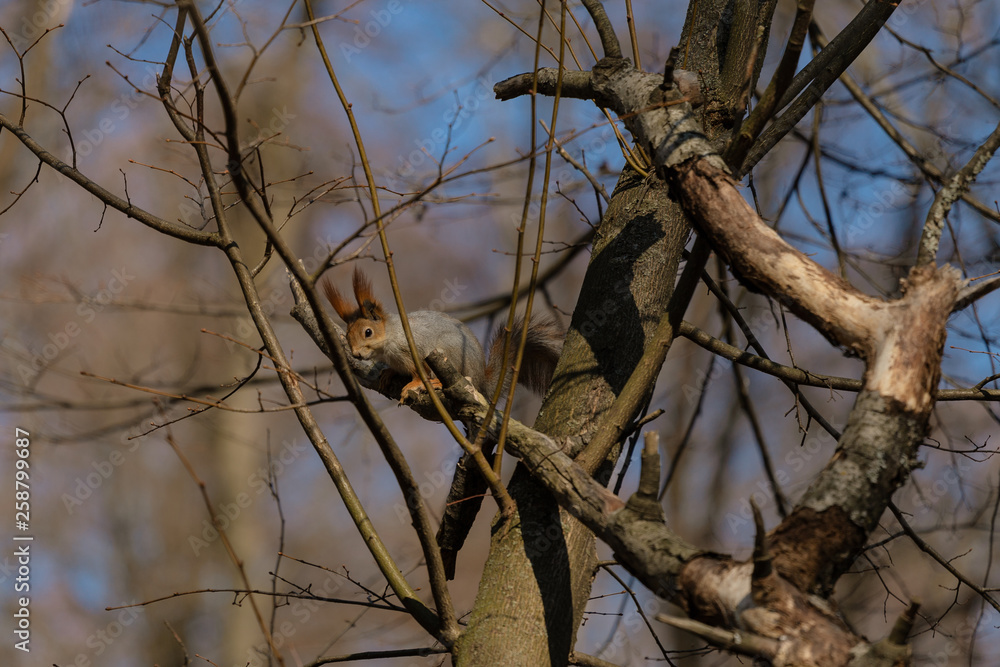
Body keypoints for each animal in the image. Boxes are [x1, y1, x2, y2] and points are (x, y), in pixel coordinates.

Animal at [323, 267, 564, 401]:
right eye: (347, 335)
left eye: (368, 332)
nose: (356, 354)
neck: (391, 337)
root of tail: (481, 382)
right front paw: (388, 374)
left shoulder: (414, 351)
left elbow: (419, 373)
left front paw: (414, 385)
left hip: (451, 352)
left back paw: (438, 383)